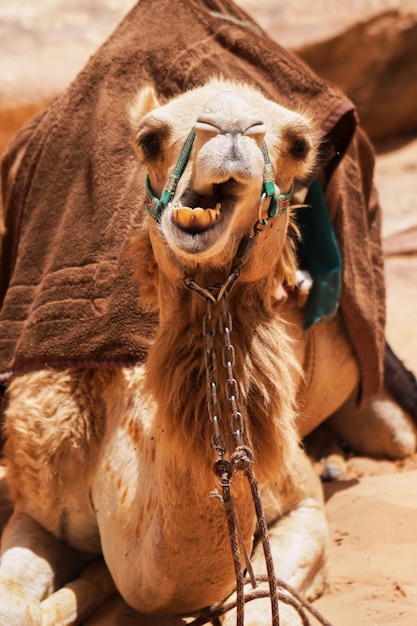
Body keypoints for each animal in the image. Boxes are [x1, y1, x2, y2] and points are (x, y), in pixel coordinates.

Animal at [0, 79, 414, 624]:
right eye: (149, 139)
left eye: (299, 145)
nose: (230, 129)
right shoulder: (40, 500)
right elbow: (16, 604)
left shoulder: (302, 504)